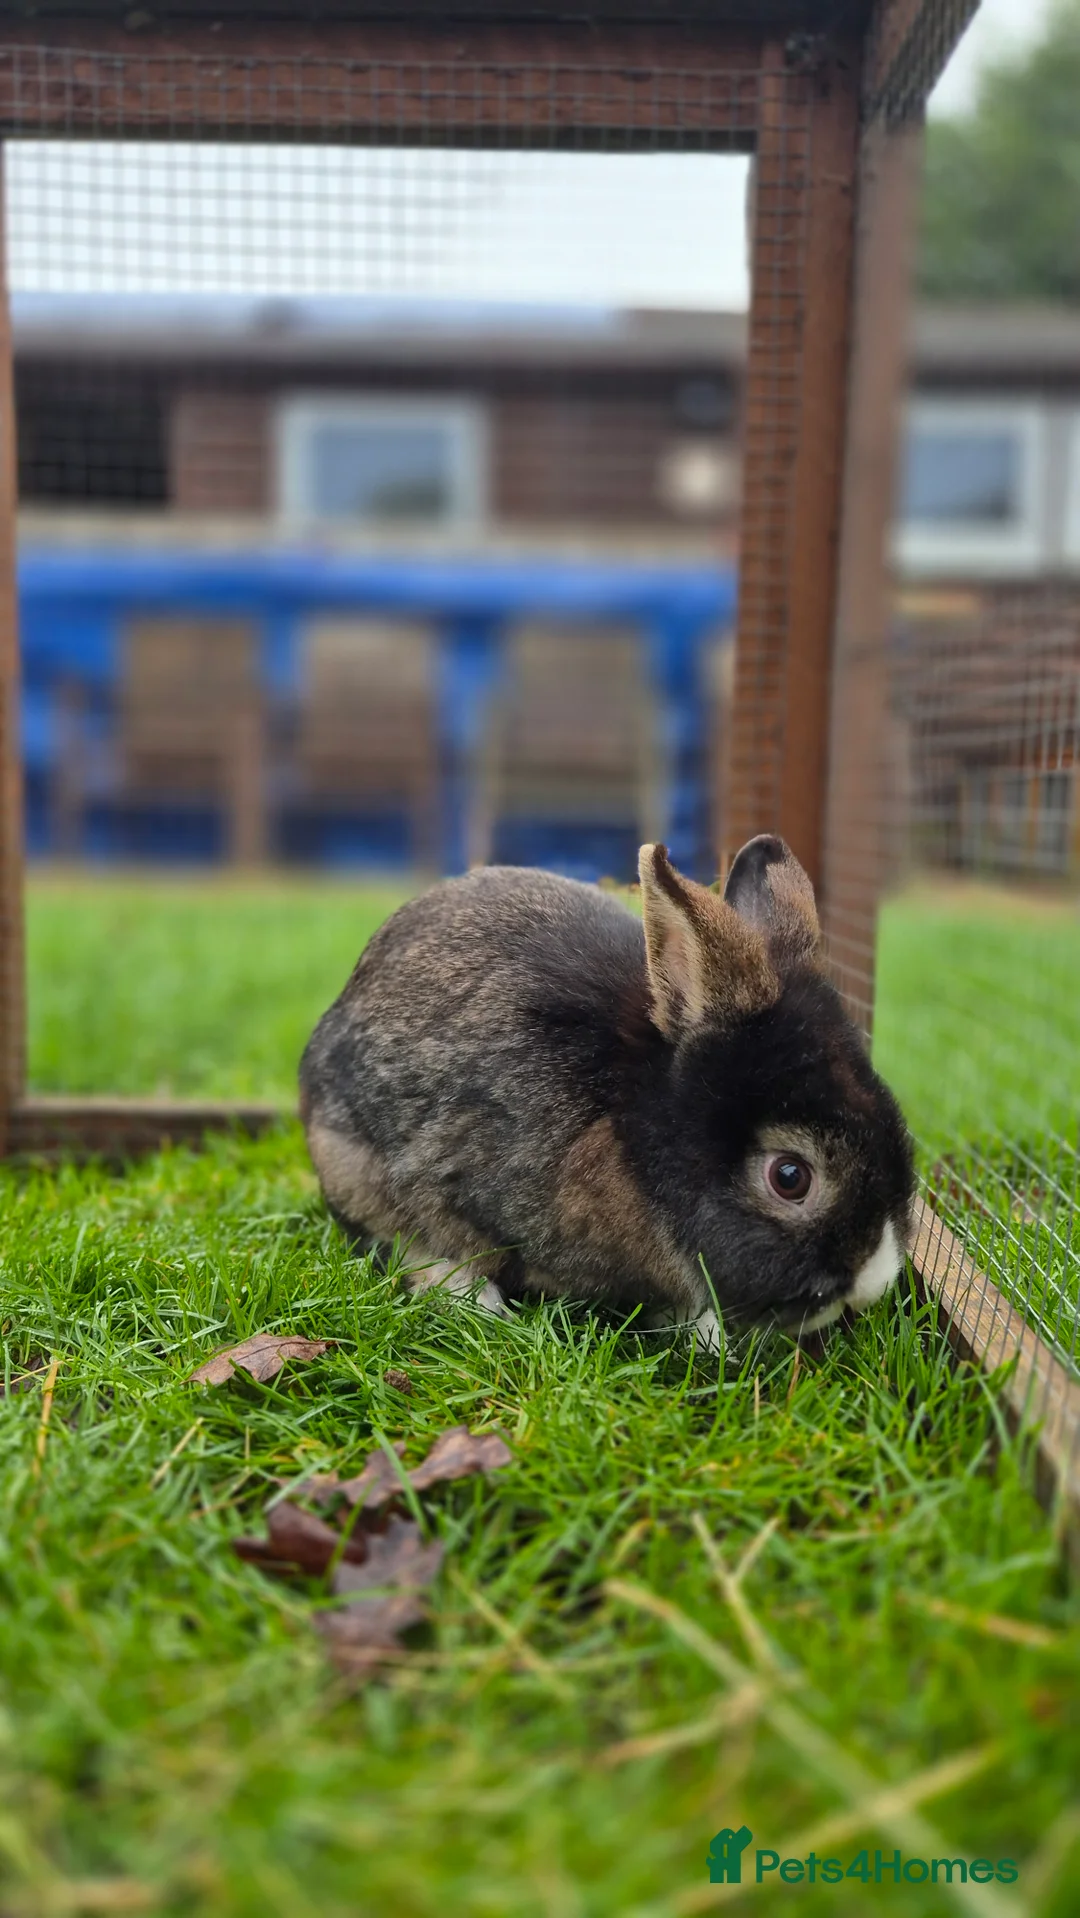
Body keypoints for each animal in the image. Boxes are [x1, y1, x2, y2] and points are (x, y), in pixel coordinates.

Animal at [299, 835, 915, 1345]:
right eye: (790, 1177)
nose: (873, 1283)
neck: (629, 1131)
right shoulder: (438, 1173)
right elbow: (437, 1240)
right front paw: (477, 1303)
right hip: (347, 1160)